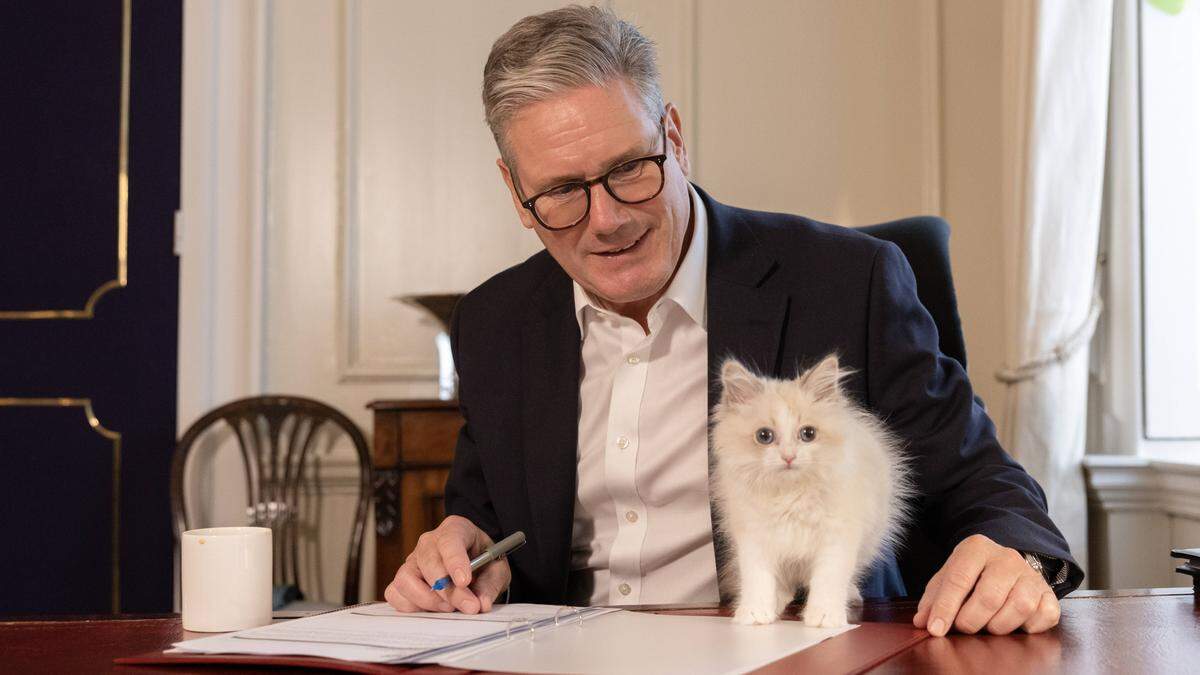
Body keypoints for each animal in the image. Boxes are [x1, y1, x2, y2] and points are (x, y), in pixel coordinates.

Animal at [710, 355, 907, 624]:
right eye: (764, 436)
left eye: (808, 434)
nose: (789, 457)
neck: (791, 495)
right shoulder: (753, 538)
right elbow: (757, 579)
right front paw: (754, 613)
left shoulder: (837, 537)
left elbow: (828, 580)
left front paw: (824, 616)